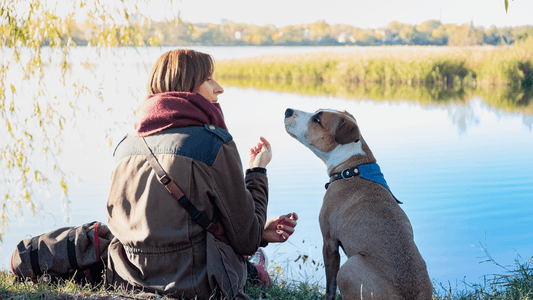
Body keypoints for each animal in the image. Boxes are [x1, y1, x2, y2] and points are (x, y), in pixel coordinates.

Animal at [282, 108, 432, 300]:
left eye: (317, 119)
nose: (288, 110)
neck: (351, 169)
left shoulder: (329, 242)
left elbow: (330, 286)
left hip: (349, 267)